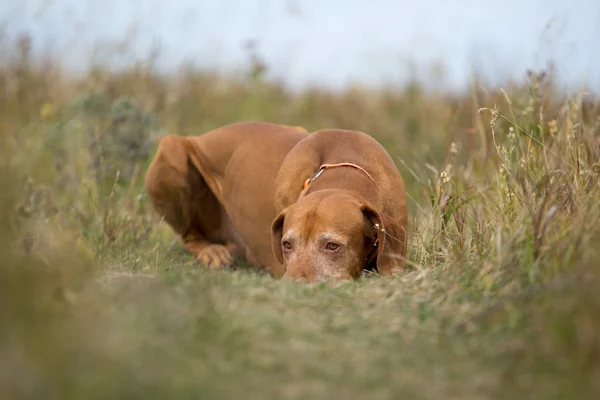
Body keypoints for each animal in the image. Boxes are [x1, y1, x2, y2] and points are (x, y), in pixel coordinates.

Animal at [145, 122, 408, 282]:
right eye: (286, 244)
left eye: (332, 246)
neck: (345, 166)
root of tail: (205, 135)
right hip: (171, 149)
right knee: (189, 237)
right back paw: (212, 252)